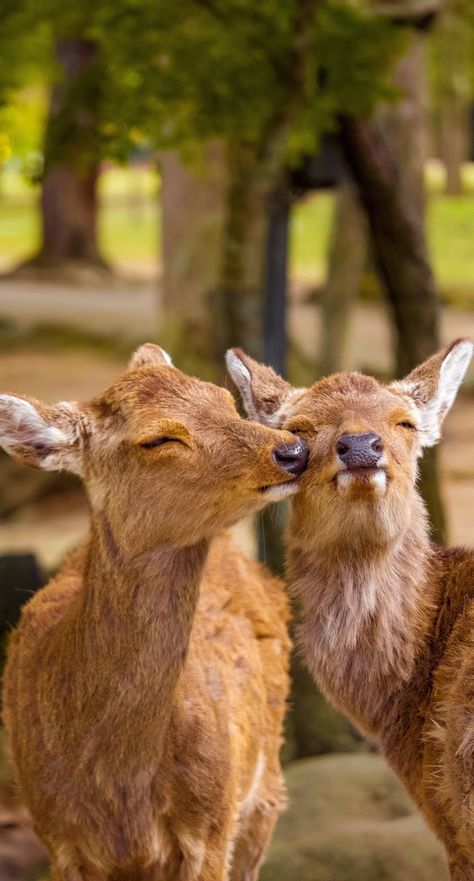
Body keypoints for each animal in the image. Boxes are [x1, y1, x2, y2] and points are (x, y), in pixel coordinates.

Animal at [0, 344, 312, 880]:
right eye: (159, 437)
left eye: (226, 402)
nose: (292, 450)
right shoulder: (55, 836)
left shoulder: (213, 827)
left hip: (264, 792)